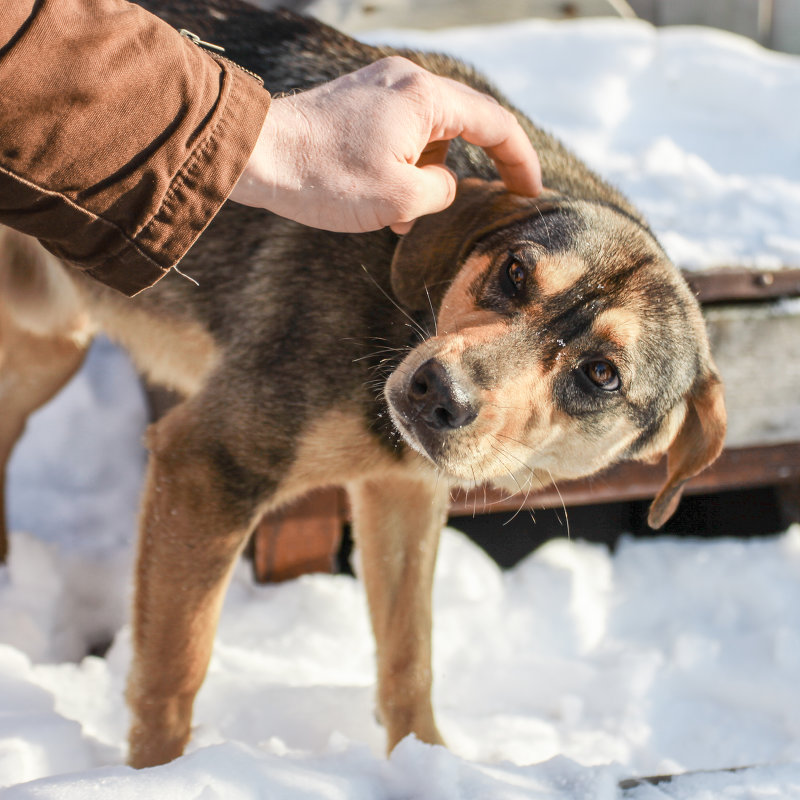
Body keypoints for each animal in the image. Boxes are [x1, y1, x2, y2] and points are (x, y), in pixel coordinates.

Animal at [0, 3, 724, 772]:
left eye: (601, 374)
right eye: (515, 272)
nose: (438, 390)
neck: (403, 303)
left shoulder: (401, 492)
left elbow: (410, 657)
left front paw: (423, 762)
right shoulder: (209, 465)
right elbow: (174, 673)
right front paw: (161, 776)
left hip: (50, 341)